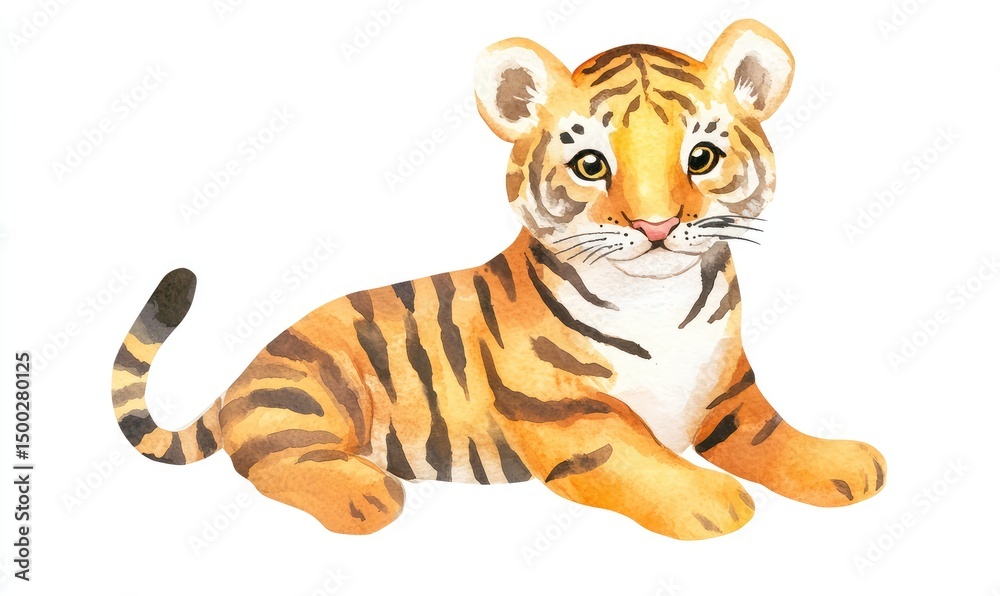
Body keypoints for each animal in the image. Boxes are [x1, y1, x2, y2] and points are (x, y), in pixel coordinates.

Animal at [111, 19, 886, 540]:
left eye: (701, 156)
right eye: (591, 165)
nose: (658, 225)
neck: (658, 300)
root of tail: (240, 376)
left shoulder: (731, 394)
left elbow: (774, 435)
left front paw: (846, 463)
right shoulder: (570, 417)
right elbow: (642, 460)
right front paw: (713, 498)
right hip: (311, 389)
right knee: (268, 458)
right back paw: (366, 495)